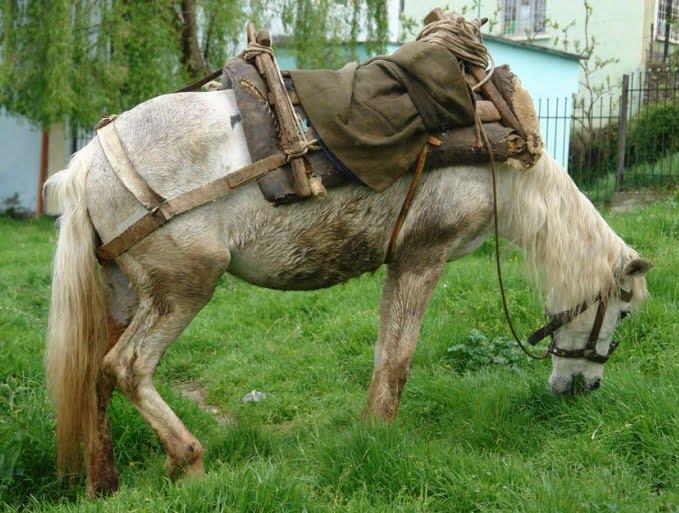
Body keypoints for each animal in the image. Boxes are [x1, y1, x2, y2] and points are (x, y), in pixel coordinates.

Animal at [44, 89, 652, 496]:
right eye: (622, 312)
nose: (585, 389)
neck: (498, 157)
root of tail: (90, 161)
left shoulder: (400, 265)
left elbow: (384, 354)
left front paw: (367, 433)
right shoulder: (421, 259)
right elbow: (399, 361)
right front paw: (380, 433)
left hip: (125, 292)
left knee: (96, 374)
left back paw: (104, 481)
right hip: (184, 286)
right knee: (127, 368)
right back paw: (187, 459)